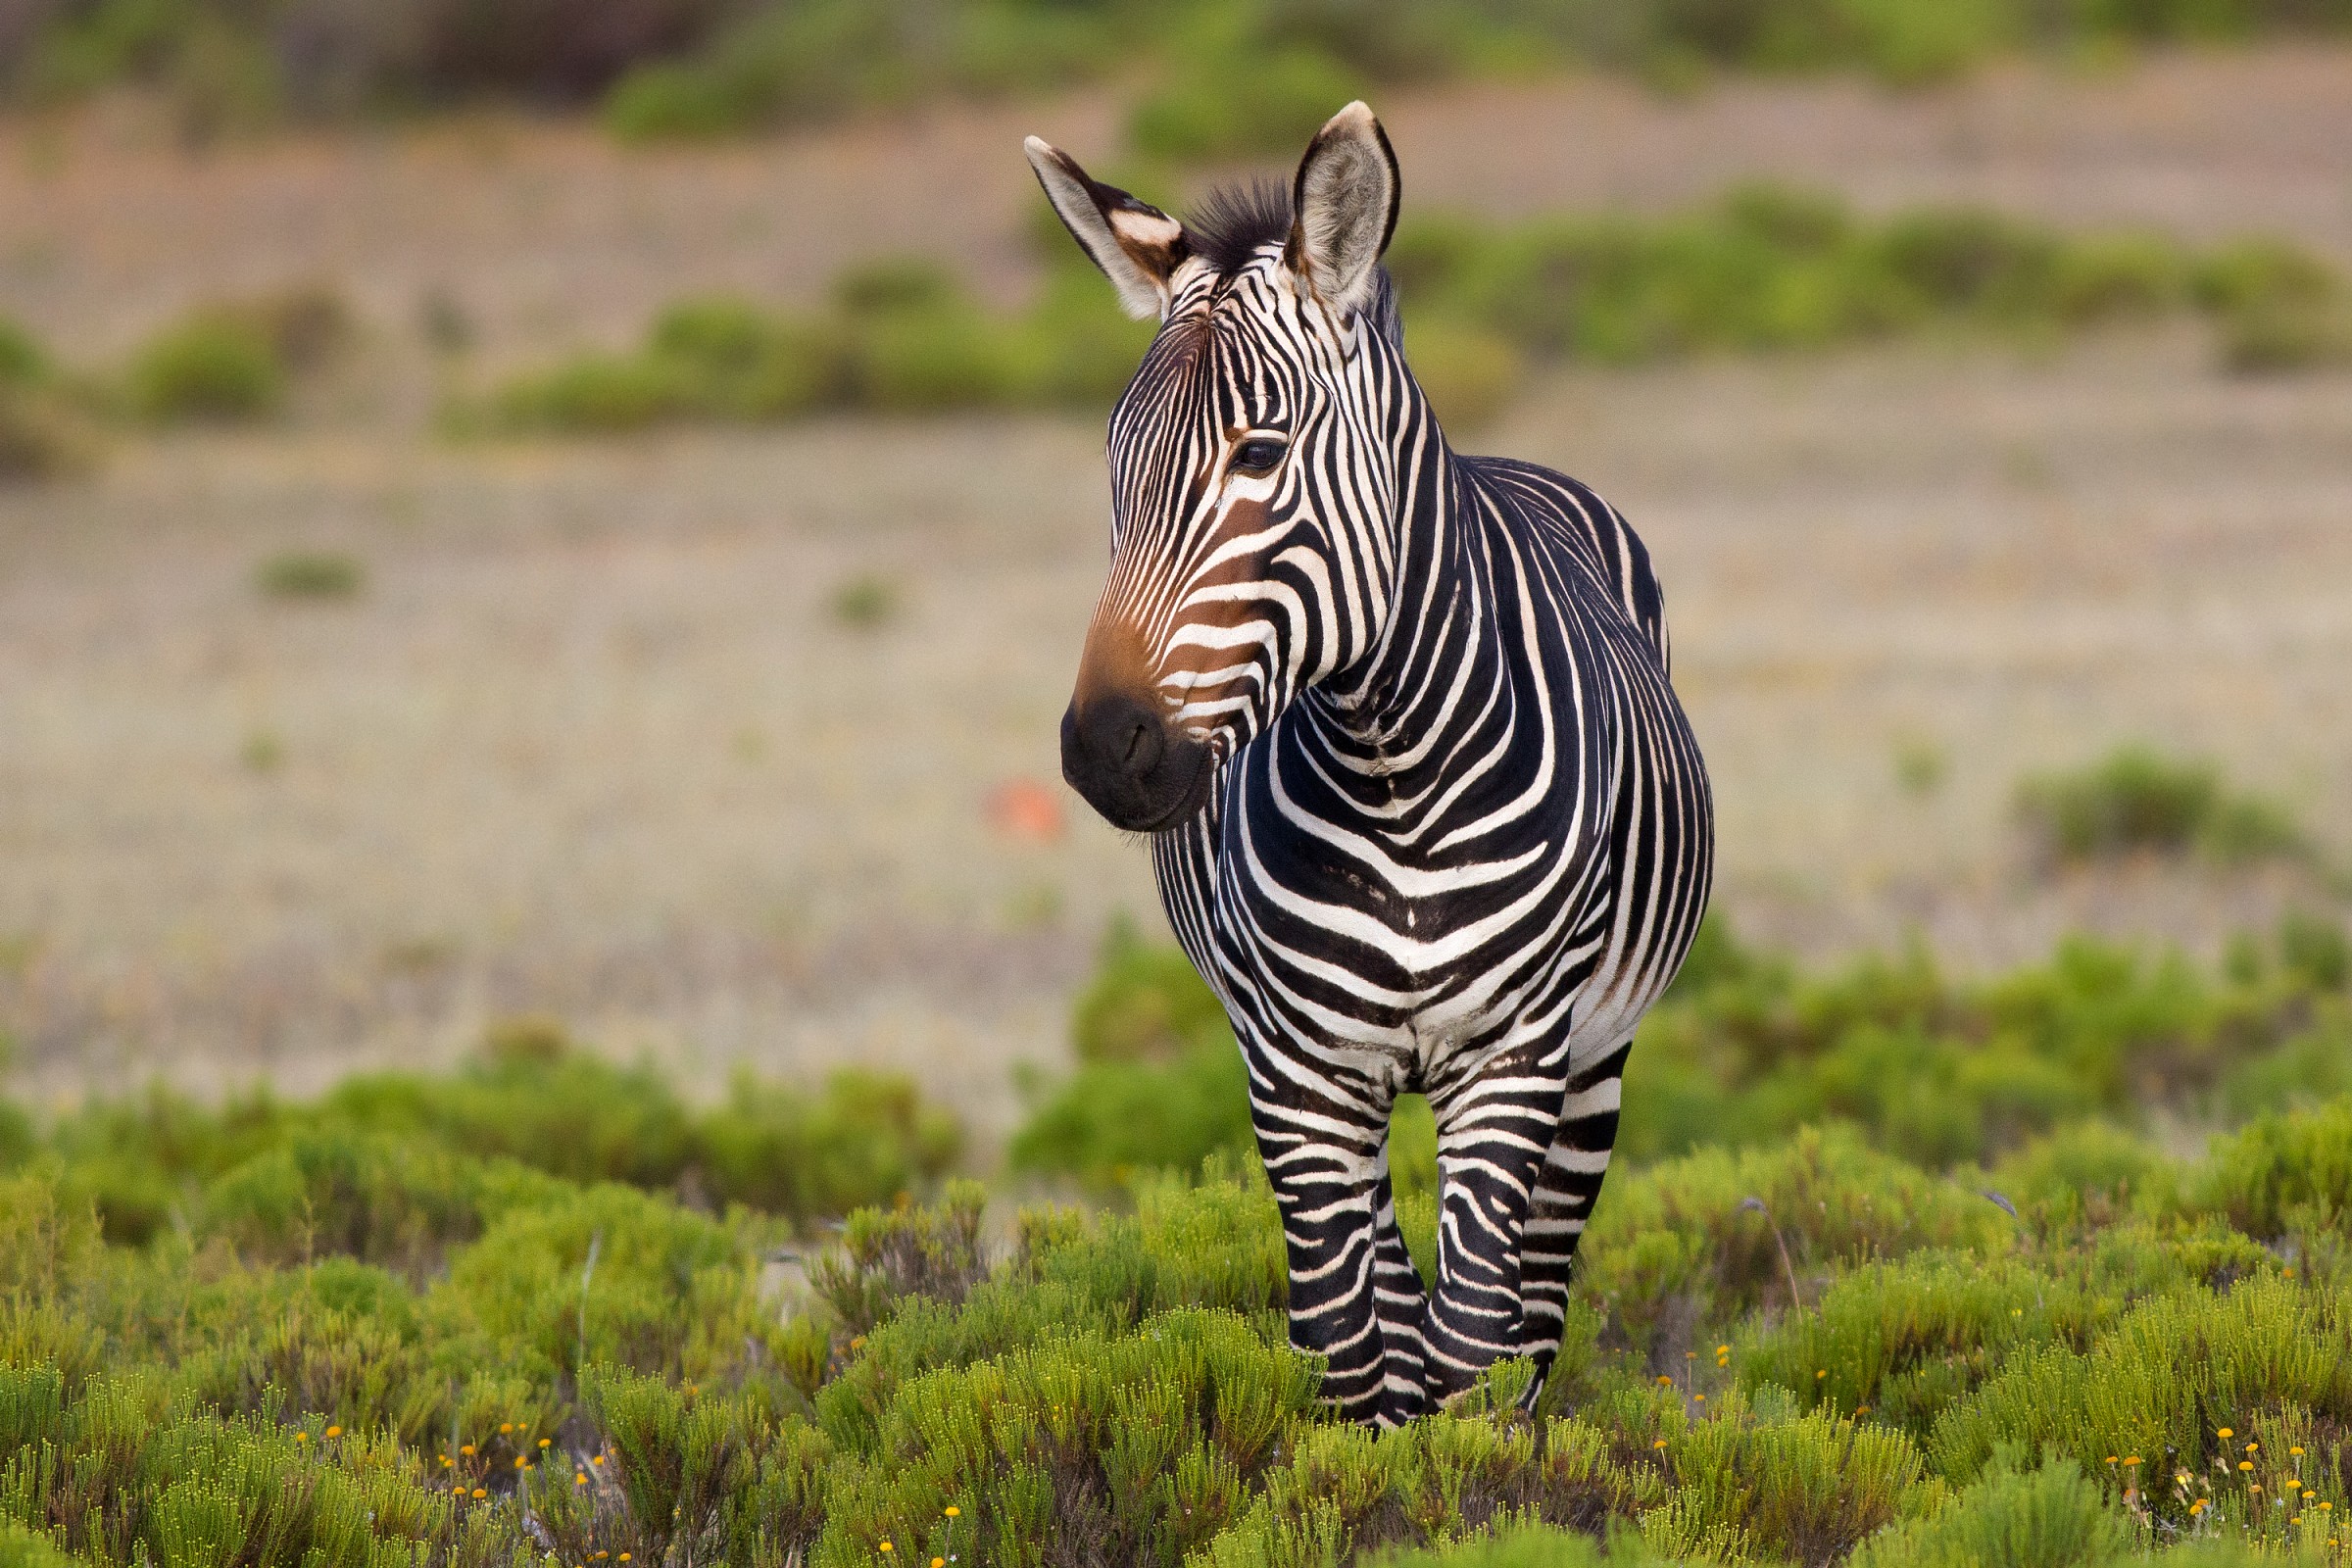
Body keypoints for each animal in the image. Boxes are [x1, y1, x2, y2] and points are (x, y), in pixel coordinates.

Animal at [1027, 102, 1714, 1426]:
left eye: (1259, 455)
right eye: (1113, 460)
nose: (1104, 749)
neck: (1394, 765)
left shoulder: (1513, 1056)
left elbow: (1467, 1356)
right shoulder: (1295, 1070)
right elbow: (1356, 1359)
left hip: (1596, 1059)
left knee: (1532, 1318)